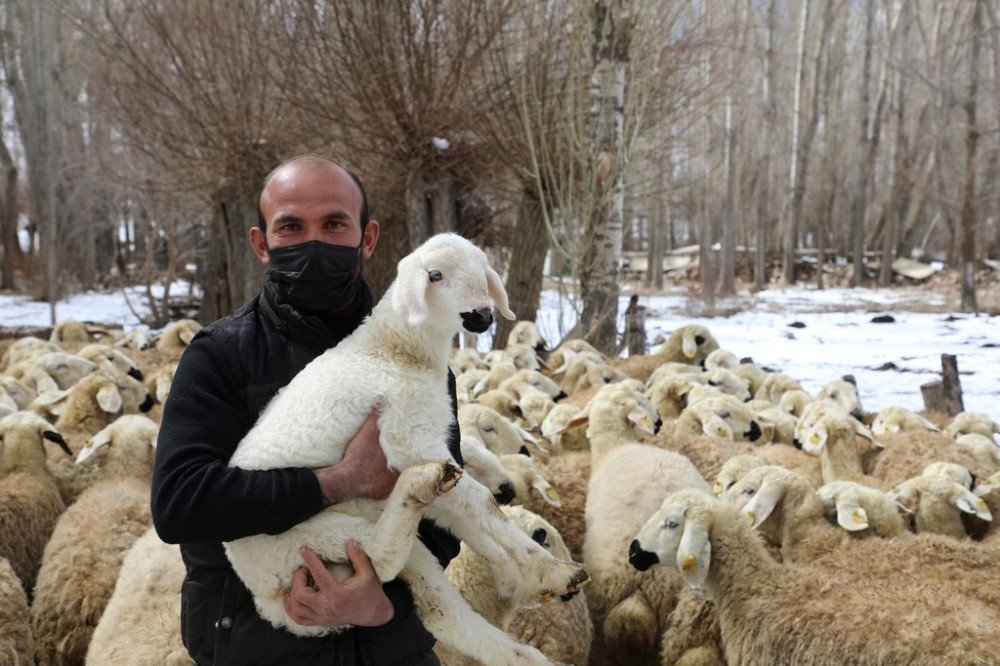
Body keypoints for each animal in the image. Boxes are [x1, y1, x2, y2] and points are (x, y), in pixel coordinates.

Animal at [224, 232, 584, 660]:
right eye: (435, 275)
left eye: (483, 271)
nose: (482, 315)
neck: (395, 349)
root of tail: (267, 601)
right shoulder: (408, 437)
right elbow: (483, 503)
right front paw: (538, 568)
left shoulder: (431, 443)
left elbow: (471, 515)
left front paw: (533, 574)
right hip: (306, 540)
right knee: (378, 557)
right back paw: (417, 486)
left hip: (385, 539)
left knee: (438, 607)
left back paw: (521, 656)